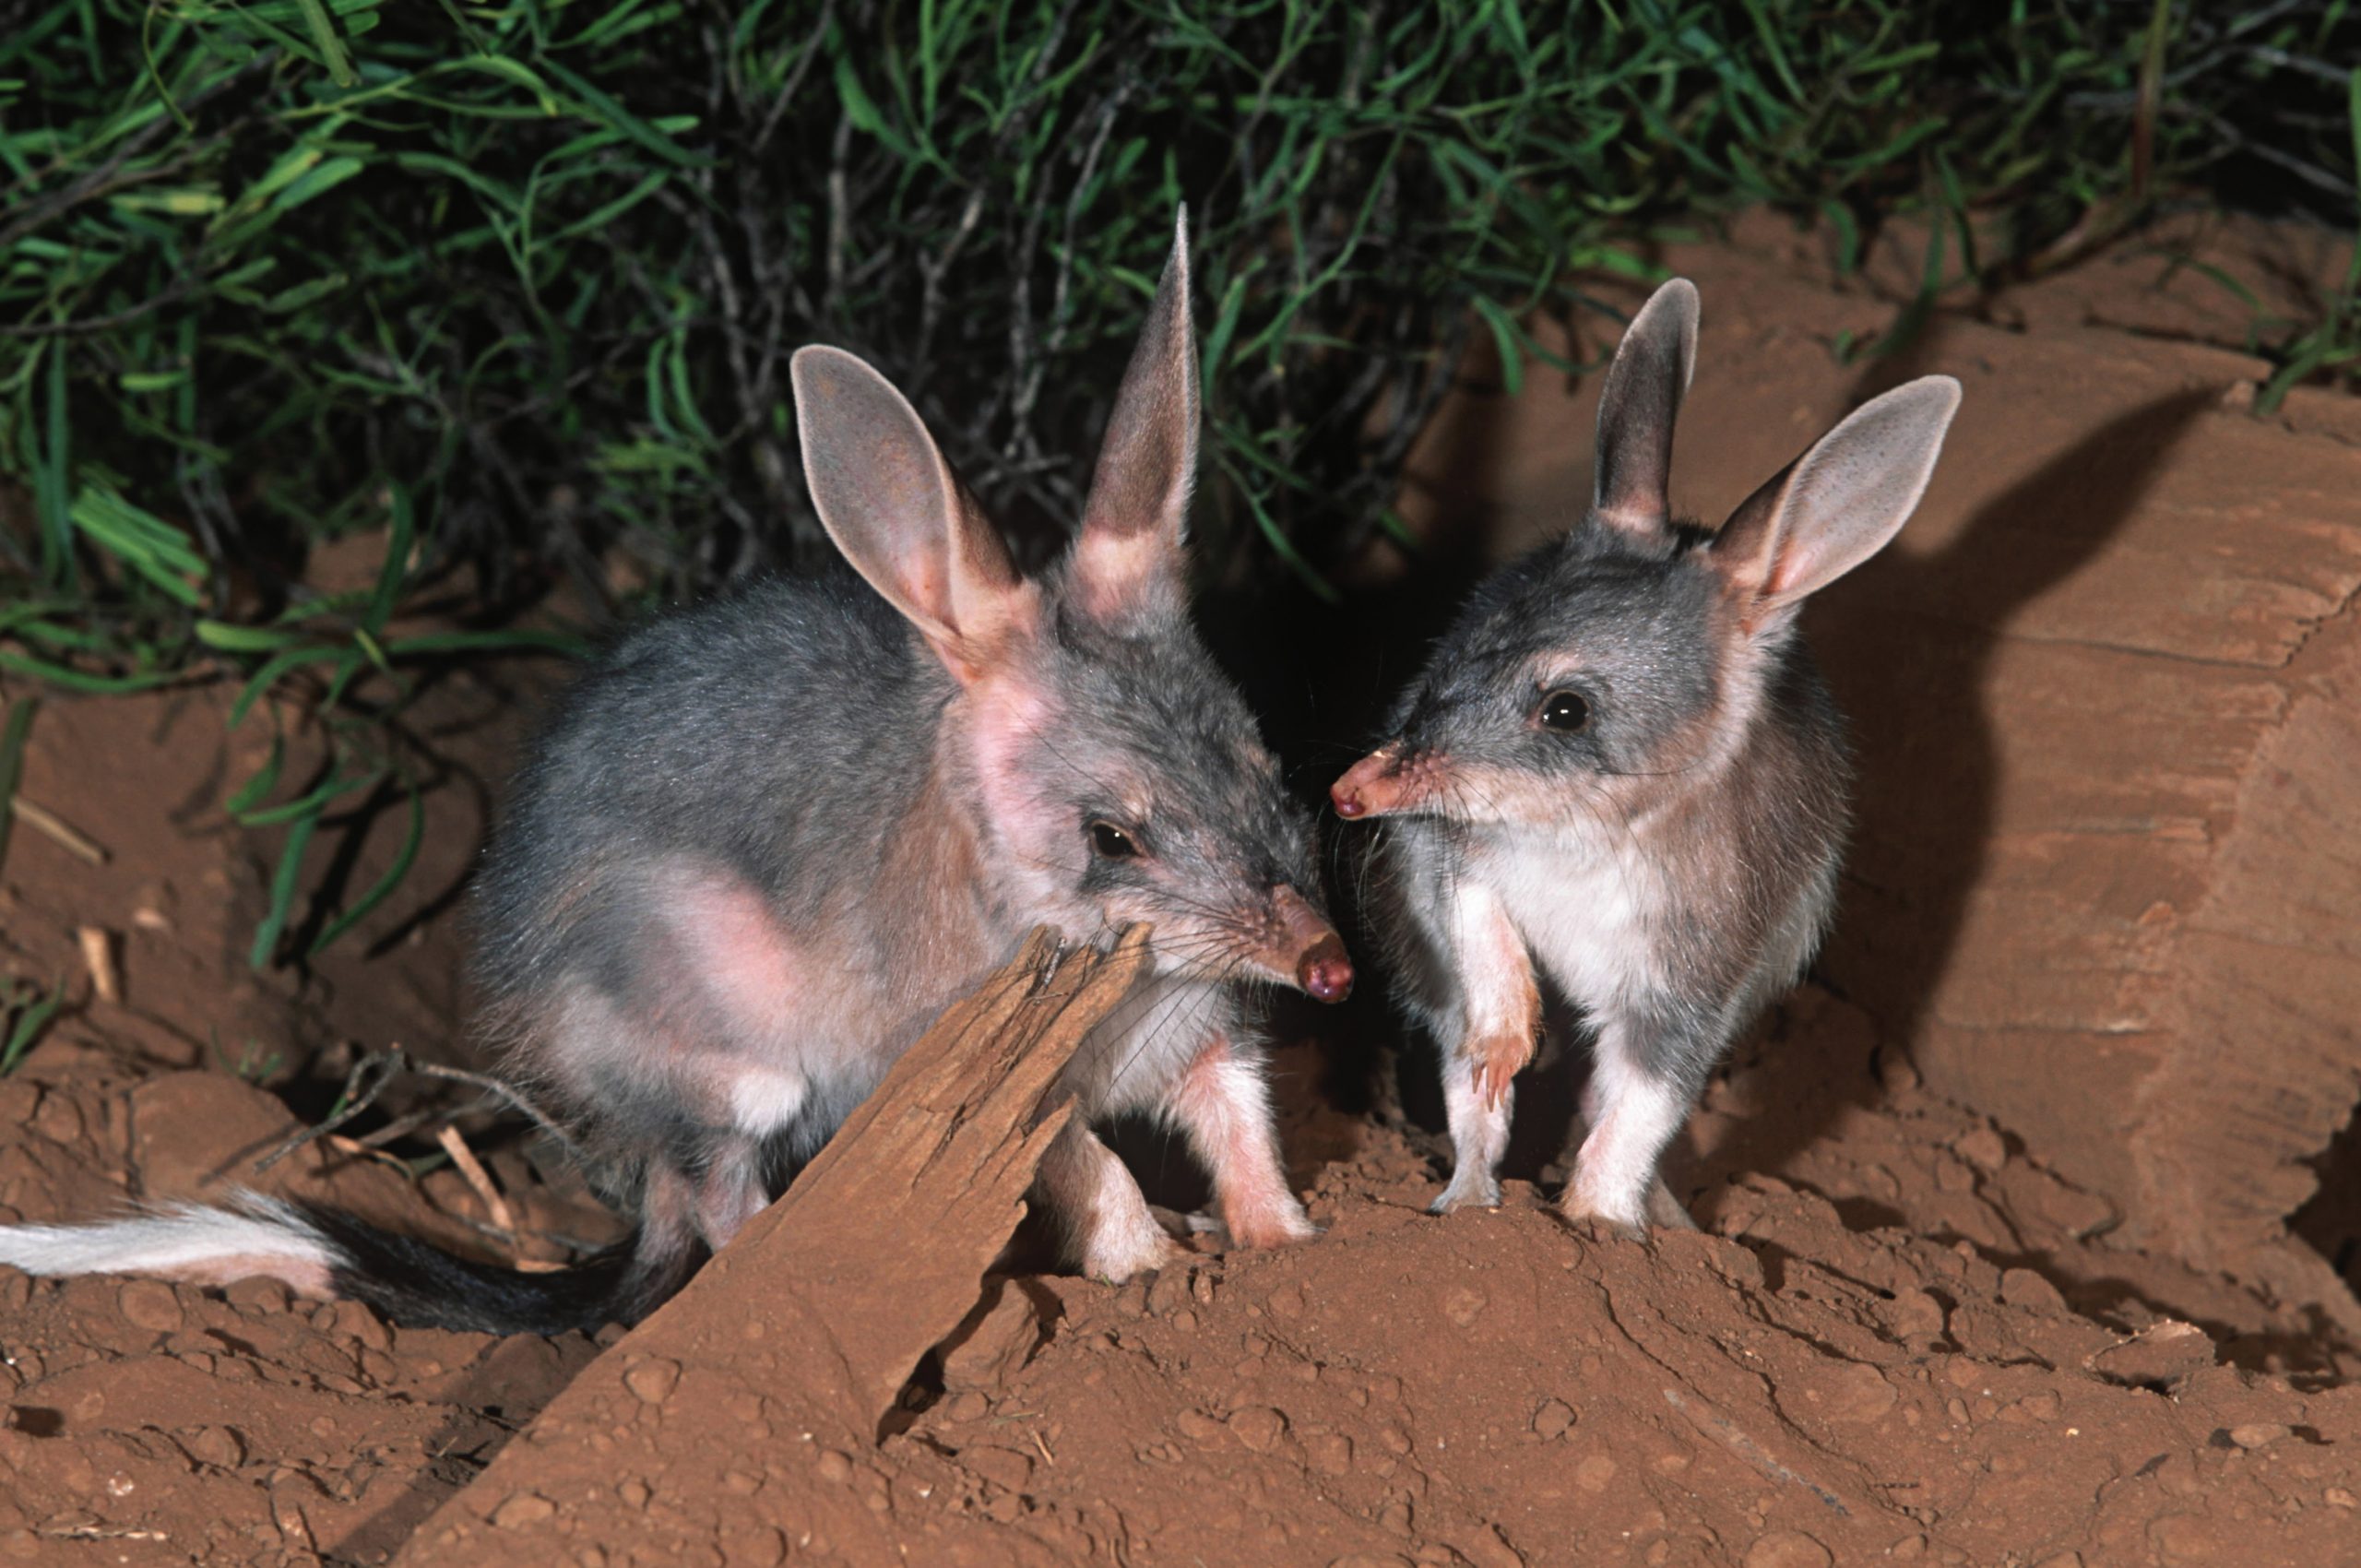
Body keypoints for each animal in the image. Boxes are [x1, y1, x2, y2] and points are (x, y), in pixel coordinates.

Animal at [0, 212, 1353, 1332]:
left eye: (1263, 761)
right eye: (1110, 837)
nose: (1331, 969)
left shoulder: (1199, 1030)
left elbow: (1241, 1120)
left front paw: (1286, 1243)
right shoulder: (975, 1062)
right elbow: (1092, 1165)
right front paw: (1146, 1269)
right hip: (734, 1061)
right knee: (714, 1200)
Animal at [1330, 277, 1959, 1233]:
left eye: (1566, 710)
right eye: (1458, 649)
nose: (1350, 792)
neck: (1586, 838)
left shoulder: (1692, 977)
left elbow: (1639, 1108)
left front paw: (1594, 1225)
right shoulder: (1456, 856)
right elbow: (1487, 960)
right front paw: (1508, 1051)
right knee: (1472, 1099)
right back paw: (1467, 1203)